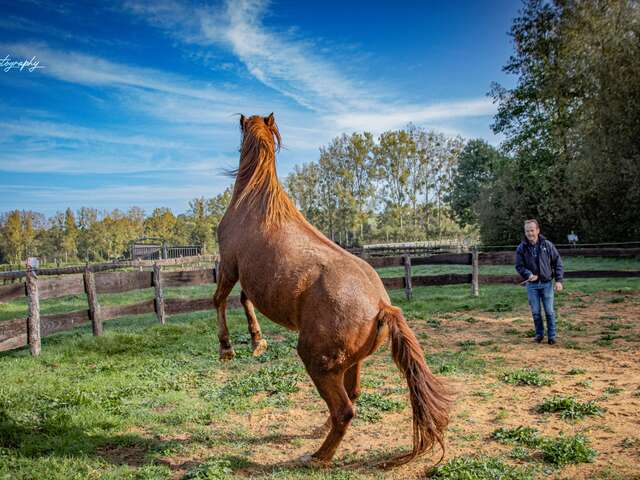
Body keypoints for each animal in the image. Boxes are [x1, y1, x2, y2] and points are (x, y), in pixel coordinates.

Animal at [212, 112, 448, 464]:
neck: (253, 200)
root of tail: (382, 307)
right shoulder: (250, 278)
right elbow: (243, 300)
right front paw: (257, 341)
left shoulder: (229, 265)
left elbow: (219, 299)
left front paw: (227, 348)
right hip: (349, 363)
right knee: (351, 397)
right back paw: (320, 433)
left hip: (317, 362)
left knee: (344, 410)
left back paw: (318, 456)